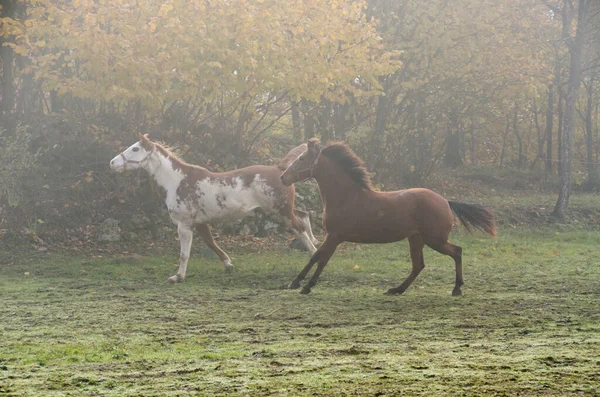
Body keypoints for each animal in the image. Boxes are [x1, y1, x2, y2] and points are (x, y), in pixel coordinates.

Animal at [112, 134, 318, 282]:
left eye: (135, 148)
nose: (112, 163)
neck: (177, 181)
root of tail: (280, 170)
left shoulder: (184, 224)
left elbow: (184, 254)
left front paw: (177, 277)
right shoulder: (200, 223)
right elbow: (211, 243)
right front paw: (228, 264)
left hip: (281, 211)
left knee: (300, 228)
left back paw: (314, 255)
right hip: (279, 210)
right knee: (304, 216)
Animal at [282, 138, 496, 296]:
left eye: (302, 158)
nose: (283, 177)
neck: (346, 196)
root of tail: (445, 201)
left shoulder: (335, 236)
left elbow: (321, 259)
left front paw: (305, 286)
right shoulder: (333, 236)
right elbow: (316, 256)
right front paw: (296, 282)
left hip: (434, 239)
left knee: (456, 252)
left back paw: (456, 288)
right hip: (416, 238)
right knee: (418, 265)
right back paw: (396, 289)